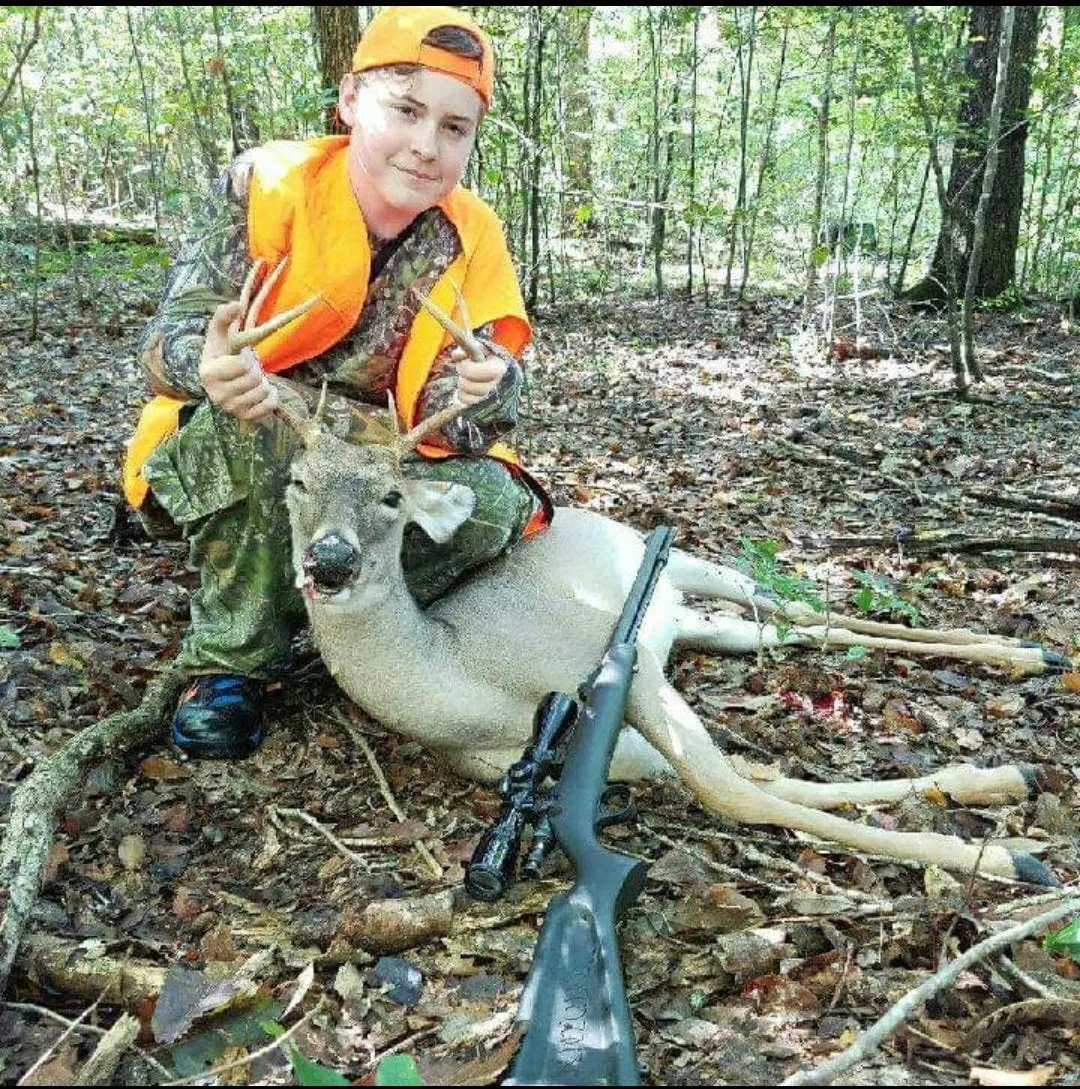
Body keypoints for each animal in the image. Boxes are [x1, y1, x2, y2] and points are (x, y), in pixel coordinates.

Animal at [226, 269, 1067, 887]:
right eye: (297, 481)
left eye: (393, 497)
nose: (330, 561)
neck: (463, 677)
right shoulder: (601, 746)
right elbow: (767, 778)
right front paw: (993, 790)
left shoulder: (611, 668)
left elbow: (733, 788)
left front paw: (1003, 853)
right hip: (686, 619)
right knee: (783, 628)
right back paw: (1027, 677)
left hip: (681, 561)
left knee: (793, 603)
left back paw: (1030, 653)